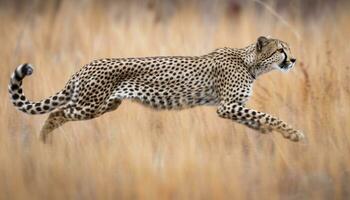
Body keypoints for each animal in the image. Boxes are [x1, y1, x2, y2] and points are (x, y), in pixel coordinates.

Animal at [8, 36, 304, 142]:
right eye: (281, 50)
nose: (293, 60)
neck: (250, 62)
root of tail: (85, 66)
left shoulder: (234, 107)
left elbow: (257, 120)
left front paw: (276, 135)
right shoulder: (226, 106)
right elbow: (267, 115)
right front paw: (294, 133)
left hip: (107, 104)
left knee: (58, 112)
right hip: (90, 105)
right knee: (56, 113)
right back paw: (43, 140)